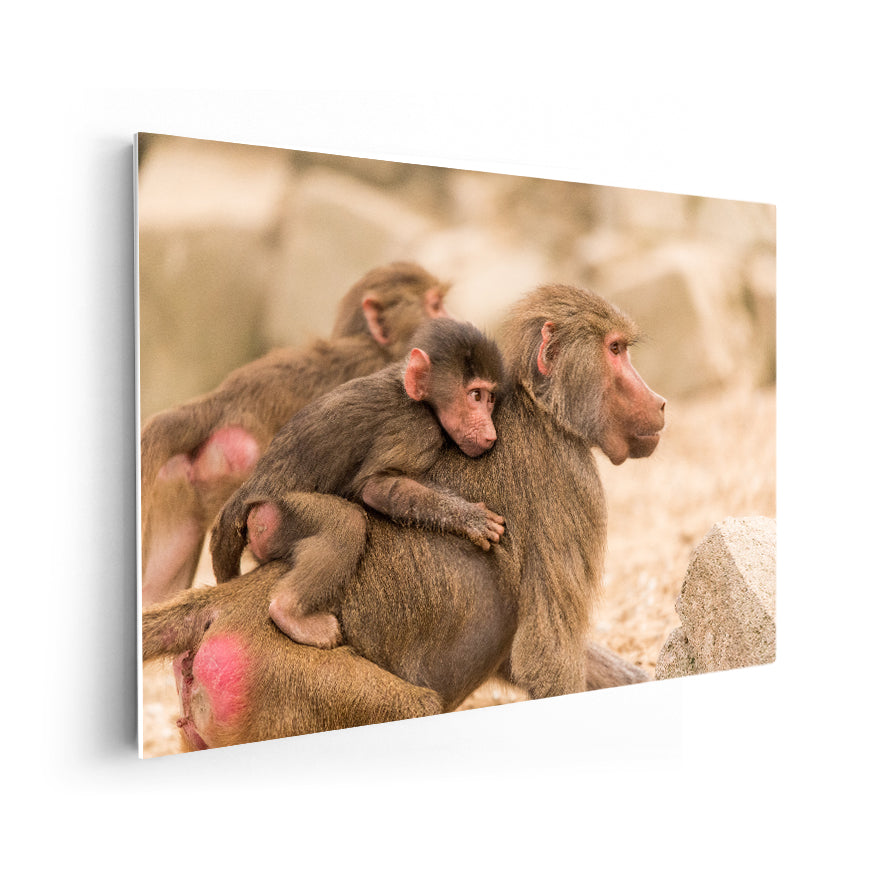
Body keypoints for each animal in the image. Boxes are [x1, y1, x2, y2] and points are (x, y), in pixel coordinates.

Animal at [208, 318, 506, 648]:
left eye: (491, 398)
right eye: (475, 396)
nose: (490, 434)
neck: (416, 396)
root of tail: (246, 494)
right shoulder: (416, 428)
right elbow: (376, 487)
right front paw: (470, 518)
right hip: (276, 515)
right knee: (347, 523)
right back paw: (289, 612)